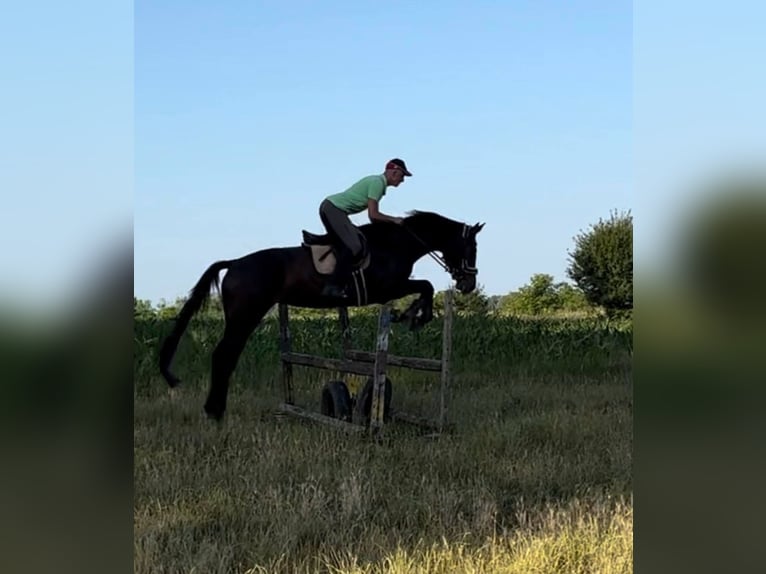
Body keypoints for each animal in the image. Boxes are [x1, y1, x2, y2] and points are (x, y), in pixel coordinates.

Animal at [159, 210, 484, 421]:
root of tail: (235, 263)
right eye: (472, 247)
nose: (468, 284)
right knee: (224, 355)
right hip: (245, 316)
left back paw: (215, 409)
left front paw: (412, 315)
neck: (395, 244)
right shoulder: (386, 289)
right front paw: (415, 316)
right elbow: (425, 286)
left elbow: (424, 287)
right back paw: (215, 411)